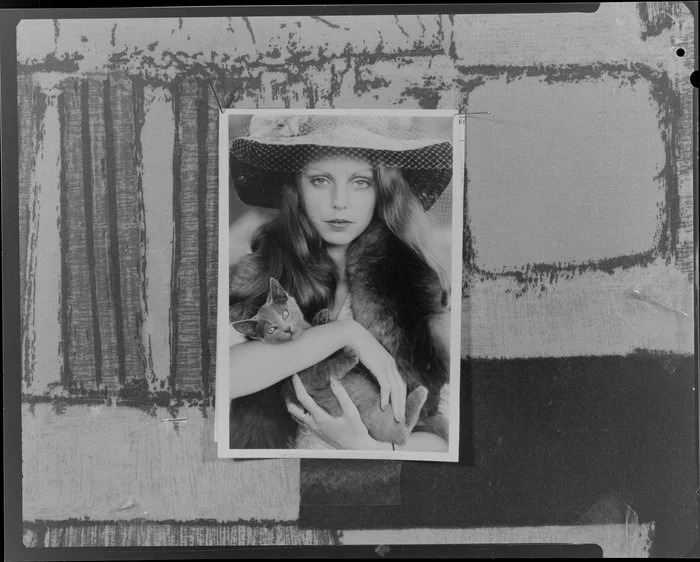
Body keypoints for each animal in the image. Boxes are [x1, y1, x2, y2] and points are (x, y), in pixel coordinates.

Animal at [232, 276, 426, 446]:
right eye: (271, 330)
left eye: (285, 313)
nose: (287, 329)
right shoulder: (304, 379)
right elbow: (324, 369)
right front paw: (348, 355)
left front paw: (322, 317)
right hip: (377, 421)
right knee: (402, 433)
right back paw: (420, 393)